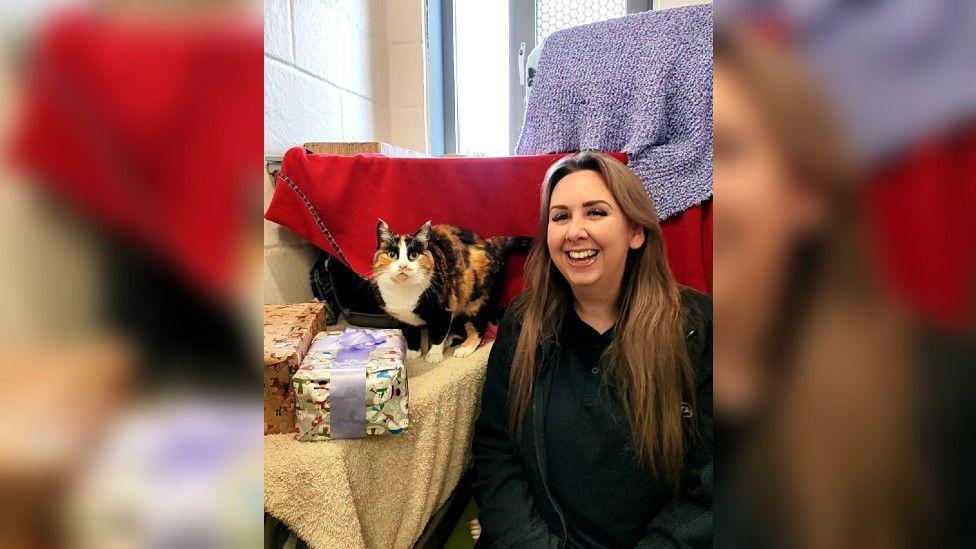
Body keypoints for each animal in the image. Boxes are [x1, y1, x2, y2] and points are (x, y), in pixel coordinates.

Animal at [370, 218, 528, 364]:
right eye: (392, 255)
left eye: (414, 255)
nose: (403, 266)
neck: (403, 292)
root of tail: (490, 243)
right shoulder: (402, 318)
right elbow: (410, 333)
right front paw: (413, 352)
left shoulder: (444, 309)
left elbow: (438, 333)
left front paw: (434, 355)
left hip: (475, 298)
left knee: (477, 326)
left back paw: (465, 347)